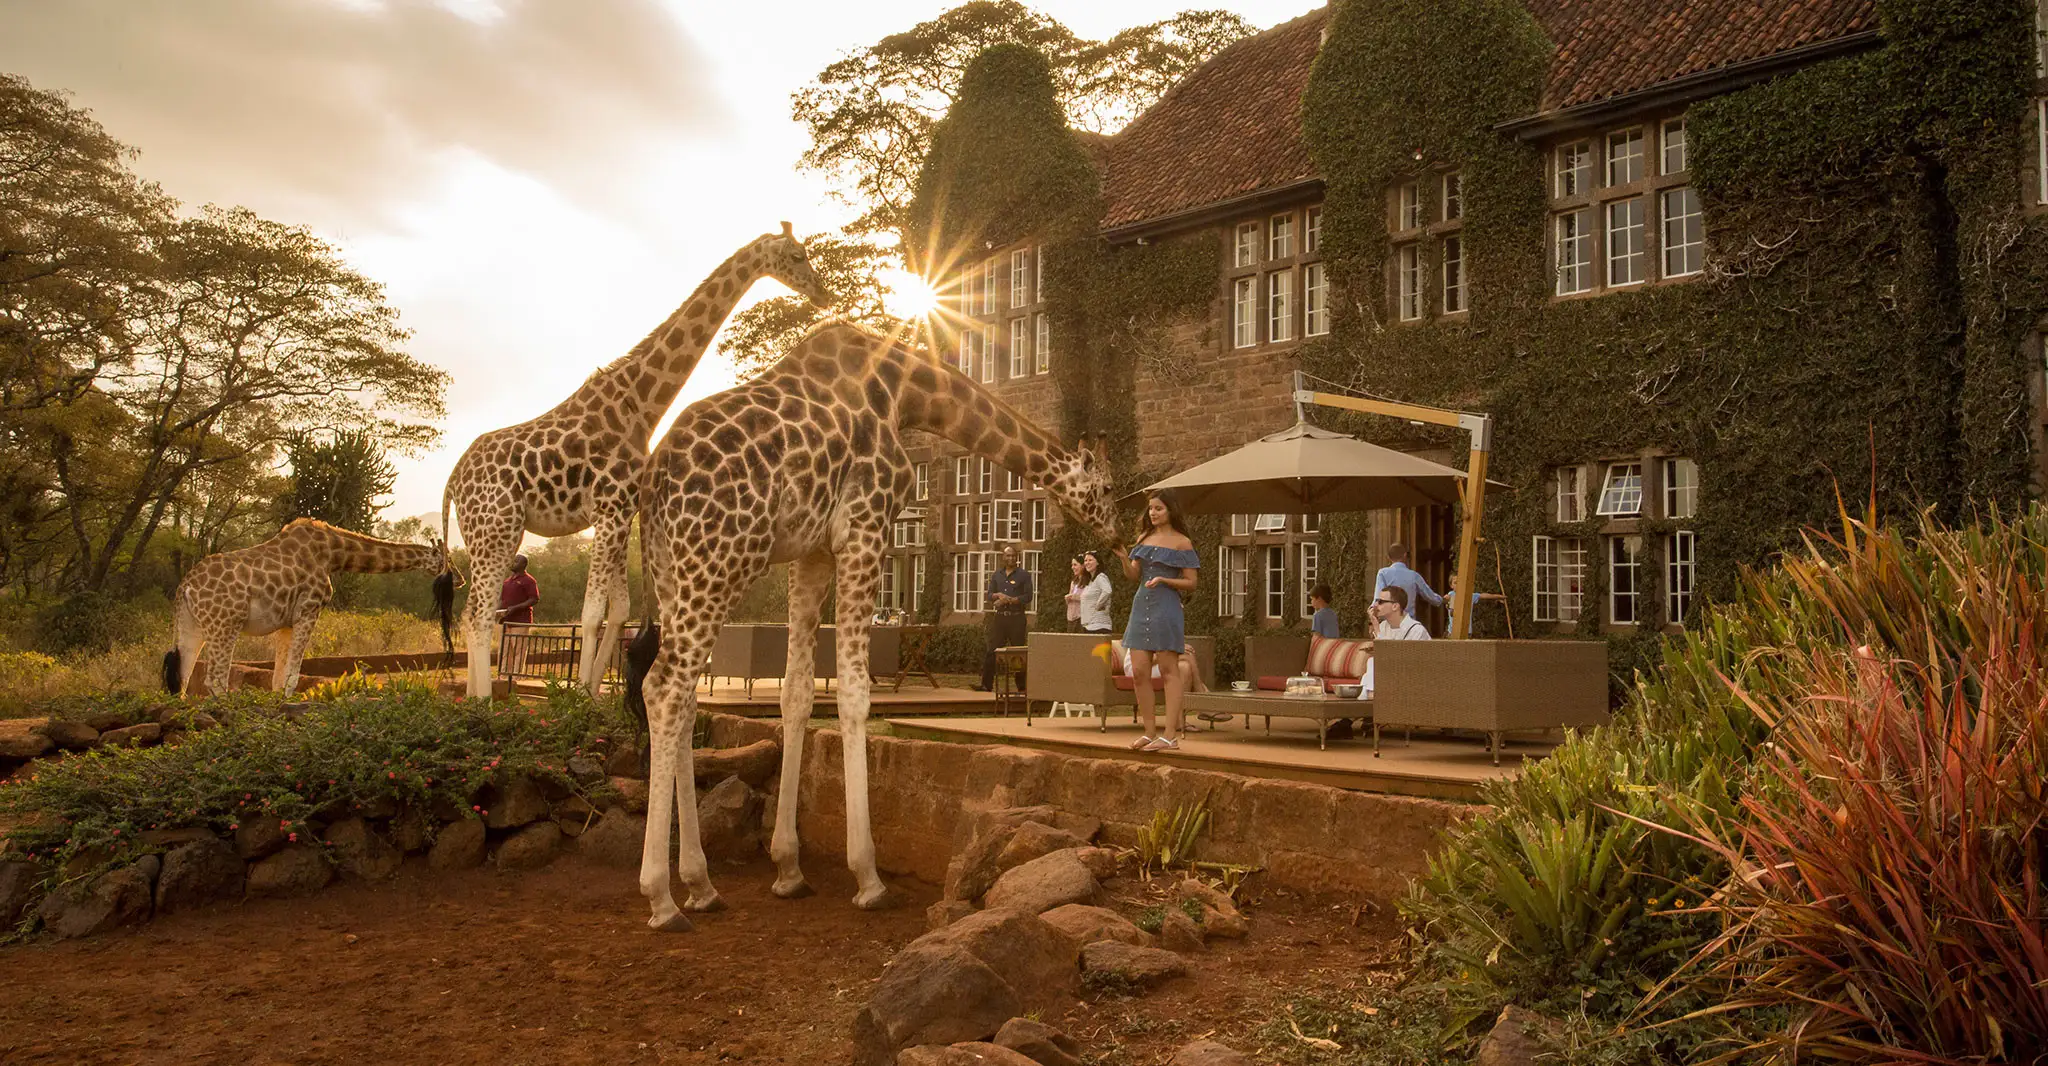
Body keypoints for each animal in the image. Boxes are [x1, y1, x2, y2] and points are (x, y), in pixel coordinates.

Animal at [166, 517, 456, 699]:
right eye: (449, 560)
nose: (462, 579)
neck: (335, 554)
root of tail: (185, 587)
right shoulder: (309, 609)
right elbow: (293, 673)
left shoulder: (286, 622)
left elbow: (278, 675)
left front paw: (278, 704)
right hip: (225, 624)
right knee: (214, 678)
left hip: (192, 626)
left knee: (182, 677)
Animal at [442, 224, 831, 699]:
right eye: (796, 256)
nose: (823, 293)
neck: (640, 405)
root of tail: (453, 479)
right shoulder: (608, 509)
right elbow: (591, 612)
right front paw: (576, 697)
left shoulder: (621, 511)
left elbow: (618, 609)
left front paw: (592, 694)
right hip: (495, 526)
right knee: (479, 613)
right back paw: (482, 701)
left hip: (494, 530)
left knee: (471, 611)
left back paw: (471, 697)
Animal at [630, 319, 1130, 924]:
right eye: (1107, 487)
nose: (1122, 539)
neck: (906, 393)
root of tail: (654, 477)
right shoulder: (865, 530)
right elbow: (853, 694)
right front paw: (868, 877)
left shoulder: (813, 552)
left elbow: (797, 694)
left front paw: (788, 868)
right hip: (722, 558)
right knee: (664, 687)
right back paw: (661, 897)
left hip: (671, 571)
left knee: (682, 696)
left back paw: (701, 884)